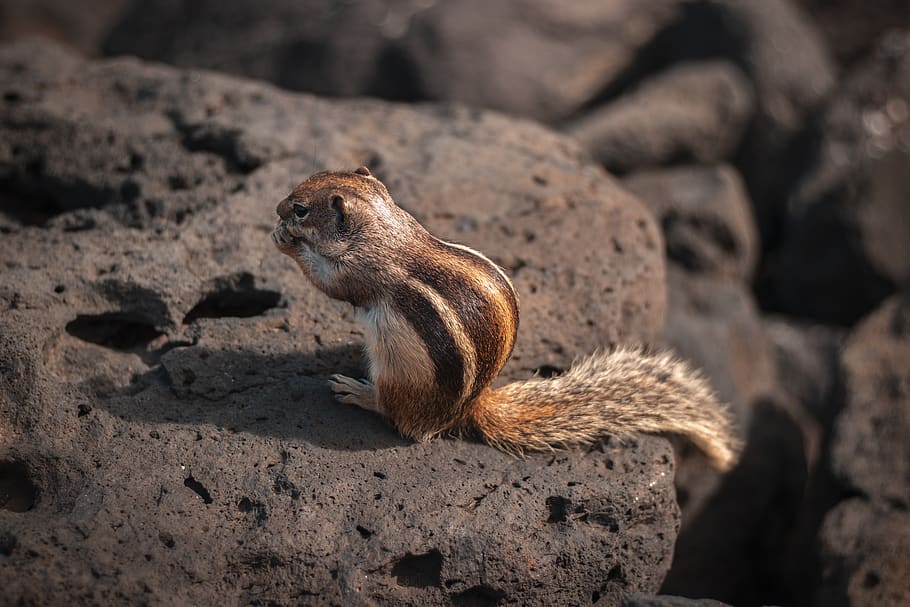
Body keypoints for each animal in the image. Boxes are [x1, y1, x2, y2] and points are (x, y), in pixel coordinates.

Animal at [272, 167, 741, 470]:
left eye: (301, 209)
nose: (277, 207)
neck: (384, 228)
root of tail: (473, 406)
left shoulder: (359, 270)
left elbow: (329, 282)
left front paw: (287, 243)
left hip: (400, 379)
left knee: (401, 418)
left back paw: (359, 391)